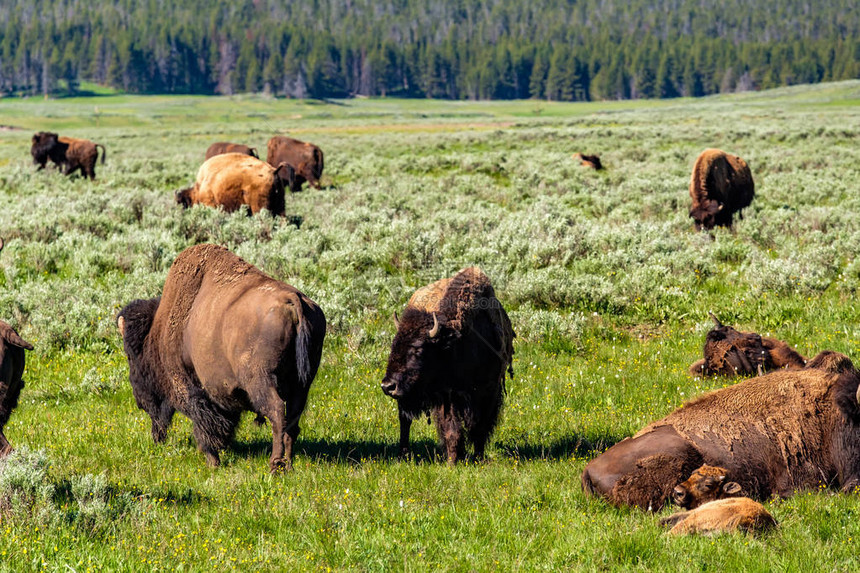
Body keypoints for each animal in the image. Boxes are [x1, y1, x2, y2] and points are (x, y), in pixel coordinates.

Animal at [117, 241, 326, 470]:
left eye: (132, 356)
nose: (138, 400)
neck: (160, 331)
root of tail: (293, 300)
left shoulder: (192, 388)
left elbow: (205, 424)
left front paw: (212, 461)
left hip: (261, 380)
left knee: (277, 413)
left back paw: (275, 465)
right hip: (302, 384)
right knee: (292, 421)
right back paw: (287, 465)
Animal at [382, 268, 512, 464]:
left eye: (419, 349)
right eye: (393, 346)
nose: (387, 386)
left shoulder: (488, 392)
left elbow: (480, 428)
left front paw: (478, 458)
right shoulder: (448, 396)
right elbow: (452, 429)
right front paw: (452, 461)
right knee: (405, 422)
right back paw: (403, 455)